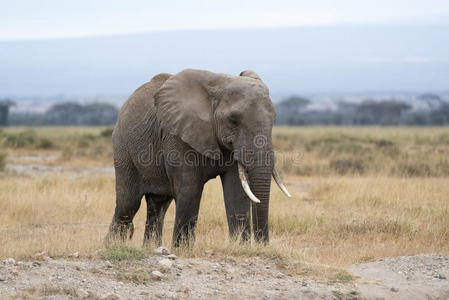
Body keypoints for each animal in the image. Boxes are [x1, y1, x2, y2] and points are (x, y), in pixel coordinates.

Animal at [104, 69, 290, 247]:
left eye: (274, 118)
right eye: (233, 120)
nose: (262, 244)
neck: (219, 84)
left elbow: (236, 190)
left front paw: (240, 246)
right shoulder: (178, 135)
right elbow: (190, 189)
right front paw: (182, 249)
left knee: (158, 205)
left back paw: (148, 247)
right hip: (123, 148)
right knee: (128, 204)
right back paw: (112, 246)